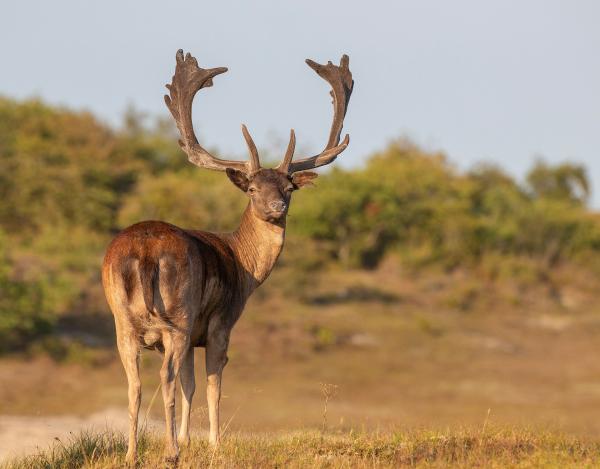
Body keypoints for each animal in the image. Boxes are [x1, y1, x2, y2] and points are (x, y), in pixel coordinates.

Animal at [101, 49, 354, 462]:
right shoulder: (220, 322)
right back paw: (168, 452)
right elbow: (211, 385)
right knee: (166, 377)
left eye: (289, 188)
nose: (276, 206)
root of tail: (145, 251)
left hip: (123, 320)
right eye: (251, 188)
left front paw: (189, 440)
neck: (244, 266)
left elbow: (190, 383)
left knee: (135, 383)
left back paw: (131, 455)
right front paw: (211, 444)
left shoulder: (194, 334)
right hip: (178, 314)